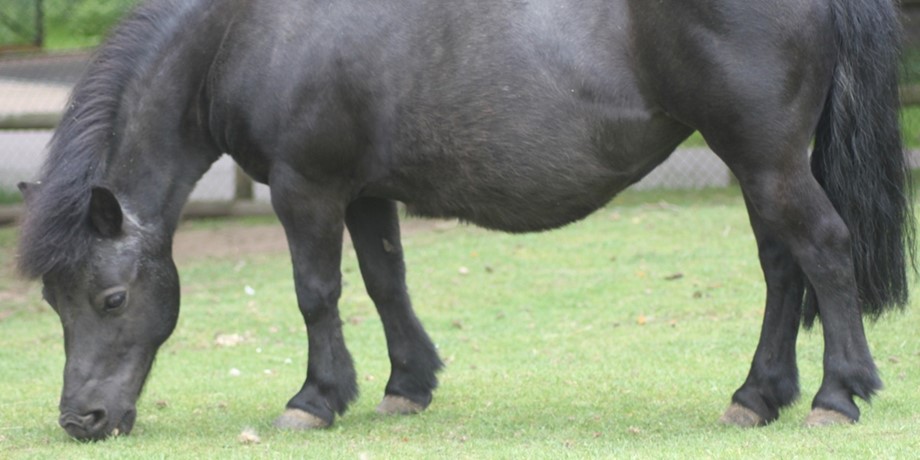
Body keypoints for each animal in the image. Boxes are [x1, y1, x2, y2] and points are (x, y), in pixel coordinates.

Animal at [14, 0, 912, 440]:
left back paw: (837, 395)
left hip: (766, 160)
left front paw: (315, 399)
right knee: (781, 267)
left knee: (822, 251)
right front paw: (406, 385)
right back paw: (759, 396)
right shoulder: (364, 191)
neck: (247, 32)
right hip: (757, 166)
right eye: (52, 304)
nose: (81, 420)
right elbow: (385, 282)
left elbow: (316, 293)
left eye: (112, 300)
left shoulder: (307, 189)